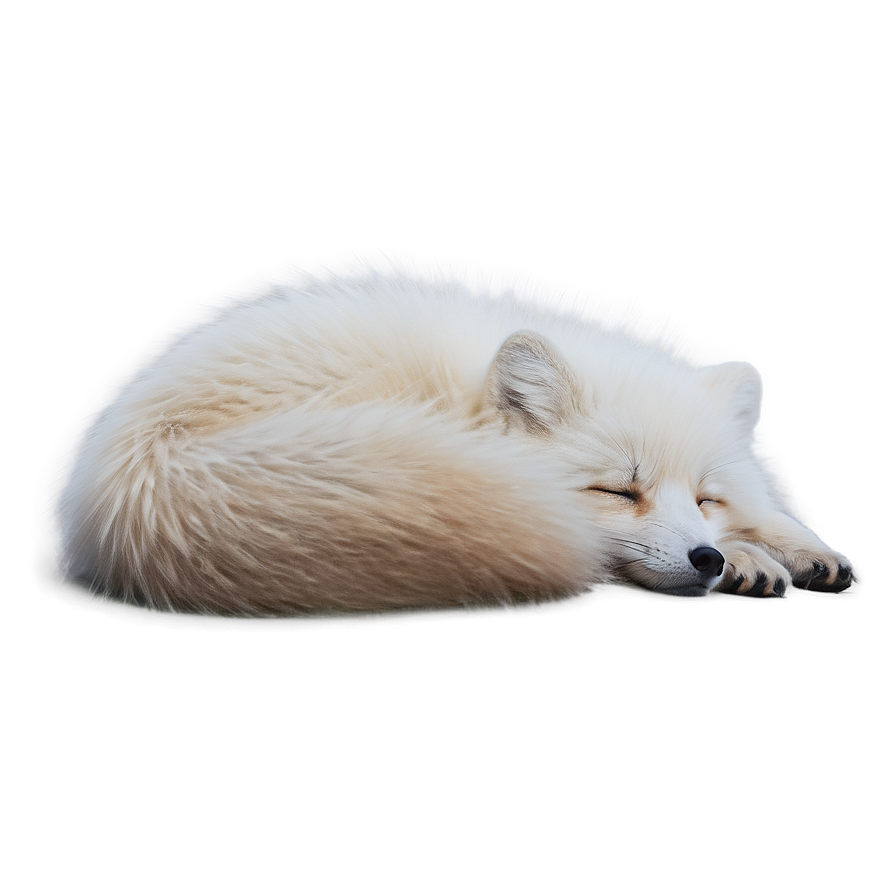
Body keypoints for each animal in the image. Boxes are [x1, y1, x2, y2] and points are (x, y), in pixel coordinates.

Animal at [47, 259, 859, 615]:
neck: (458, 400)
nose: (706, 557)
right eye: (615, 490)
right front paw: (750, 557)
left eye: (707, 499)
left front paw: (799, 548)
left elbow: (772, 516)